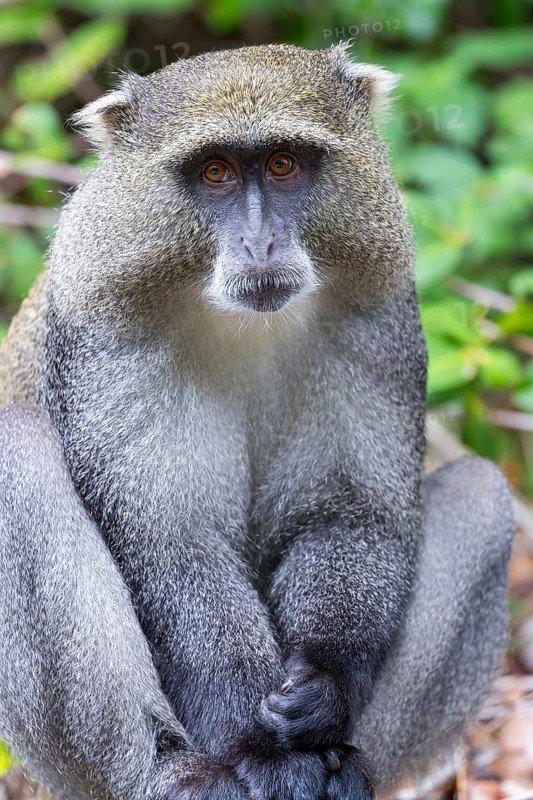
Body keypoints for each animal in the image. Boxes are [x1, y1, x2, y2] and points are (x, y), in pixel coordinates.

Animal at [0, 43, 514, 800]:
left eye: (282, 164)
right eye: (214, 171)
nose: (260, 244)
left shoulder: (377, 309)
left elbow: (347, 510)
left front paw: (323, 691)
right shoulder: (101, 322)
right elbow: (170, 541)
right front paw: (255, 743)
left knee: (481, 493)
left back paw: (347, 766)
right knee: (17, 459)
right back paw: (176, 774)